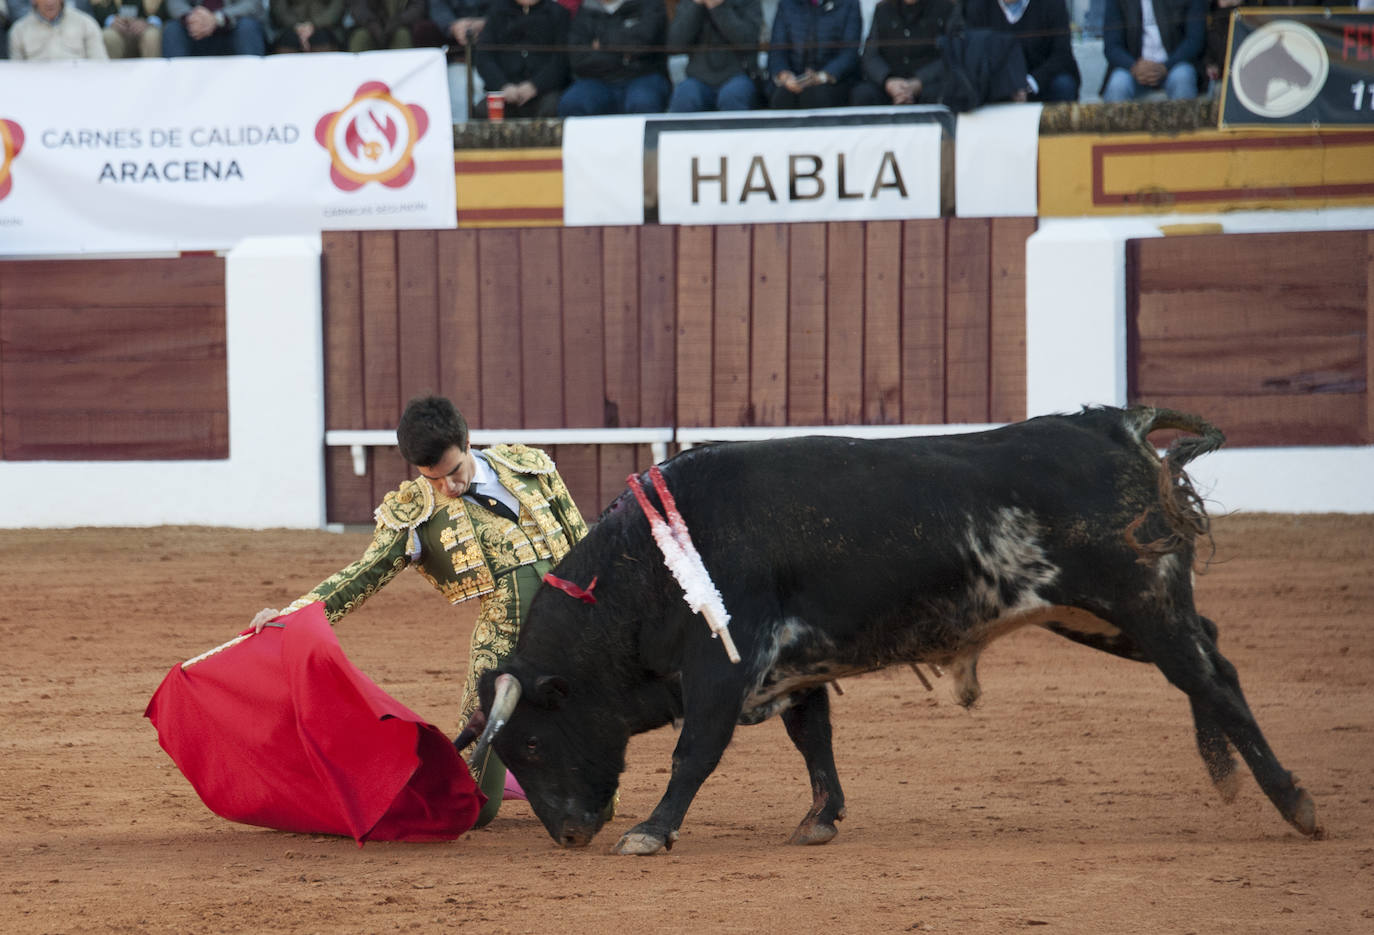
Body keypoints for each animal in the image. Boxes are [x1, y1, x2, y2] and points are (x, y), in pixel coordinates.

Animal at [472, 407, 1319, 852]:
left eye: (535, 743)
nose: (570, 832)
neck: (647, 566)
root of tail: (1115, 426)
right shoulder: (792, 665)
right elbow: (813, 738)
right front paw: (819, 819)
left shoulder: (723, 666)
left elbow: (695, 752)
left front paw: (650, 830)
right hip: (1110, 616)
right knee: (1215, 658)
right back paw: (1225, 770)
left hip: (1139, 602)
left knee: (1210, 678)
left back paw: (1295, 803)